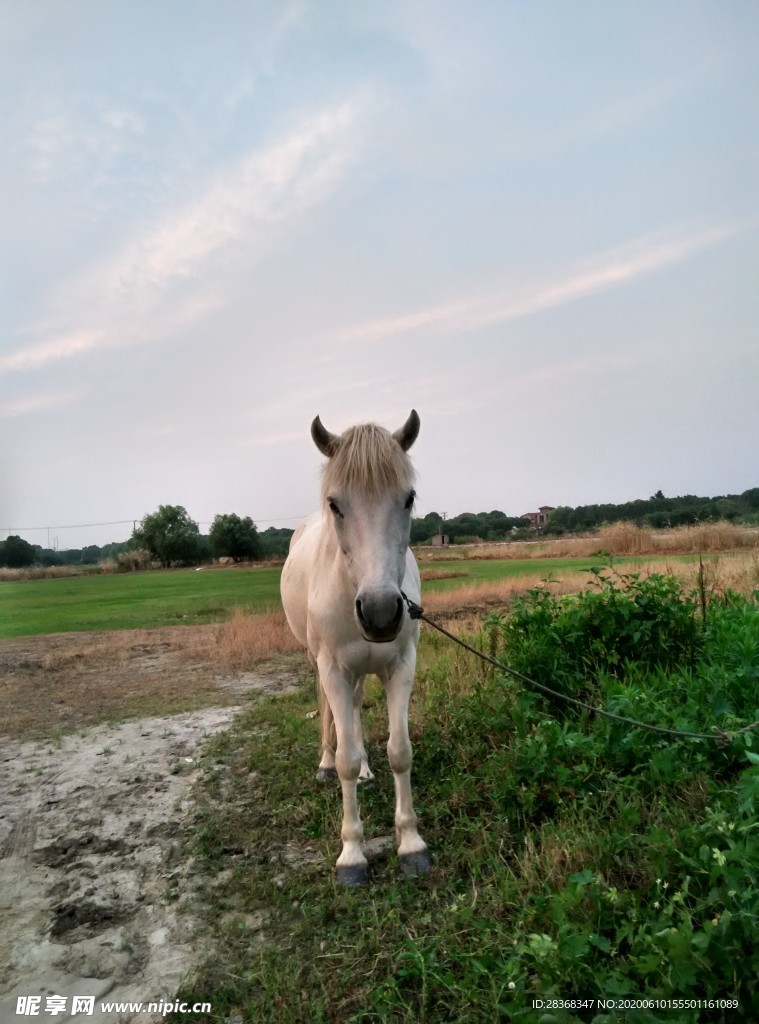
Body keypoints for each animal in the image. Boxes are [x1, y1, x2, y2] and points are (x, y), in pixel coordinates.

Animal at [280, 410, 430, 886]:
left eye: (408, 498)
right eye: (335, 503)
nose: (381, 613)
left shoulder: (401, 666)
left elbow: (400, 751)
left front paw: (411, 844)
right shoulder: (334, 670)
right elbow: (344, 753)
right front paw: (351, 854)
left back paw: (366, 769)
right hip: (320, 664)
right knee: (330, 714)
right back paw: (326, 763)